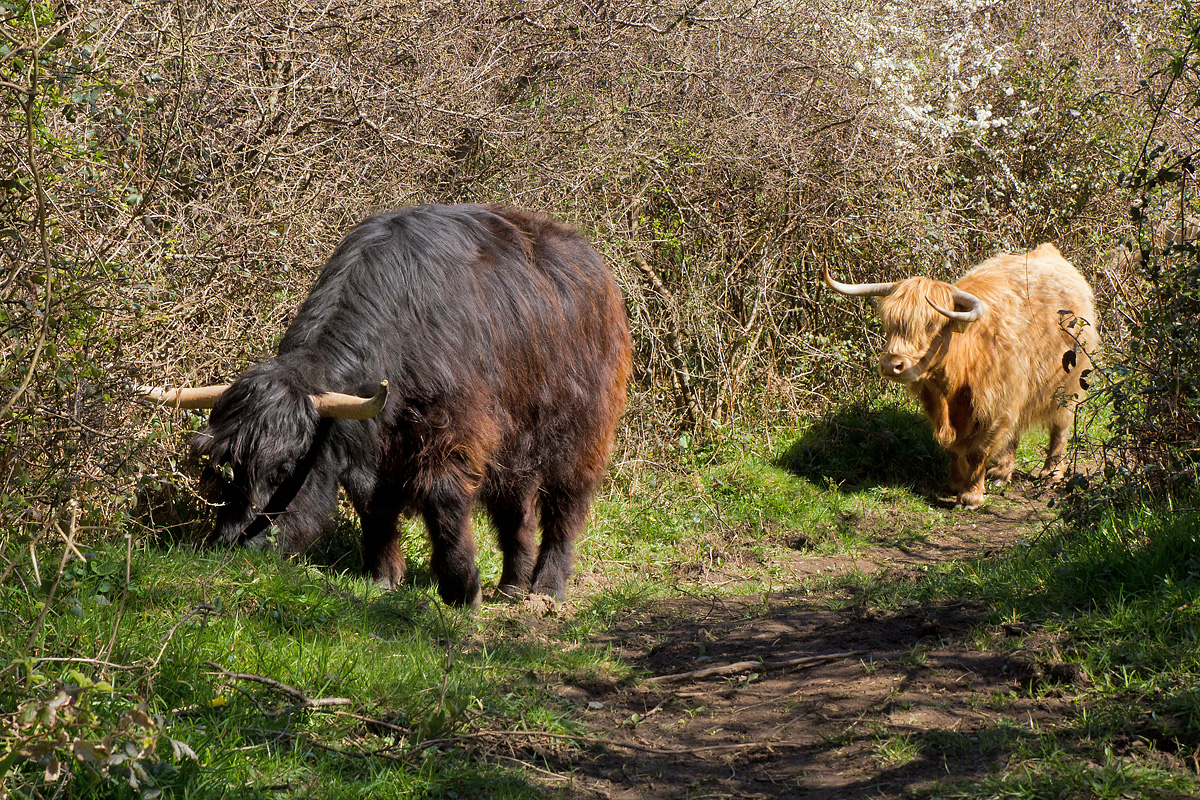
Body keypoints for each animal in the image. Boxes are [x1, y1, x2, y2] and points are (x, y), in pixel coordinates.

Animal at [145, 206, 633, 606]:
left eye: (283, 470)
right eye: (228, 468)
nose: (233, 548)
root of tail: (595, 267)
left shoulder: (458, 431)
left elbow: (444, 501)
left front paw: (462, 587)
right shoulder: (374, 450)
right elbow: (374, 507)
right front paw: (383, 576)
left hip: (579, 437)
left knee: (565, 509)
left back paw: (546, 589)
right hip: (516, 447)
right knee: (515, 513)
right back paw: (512, 585)